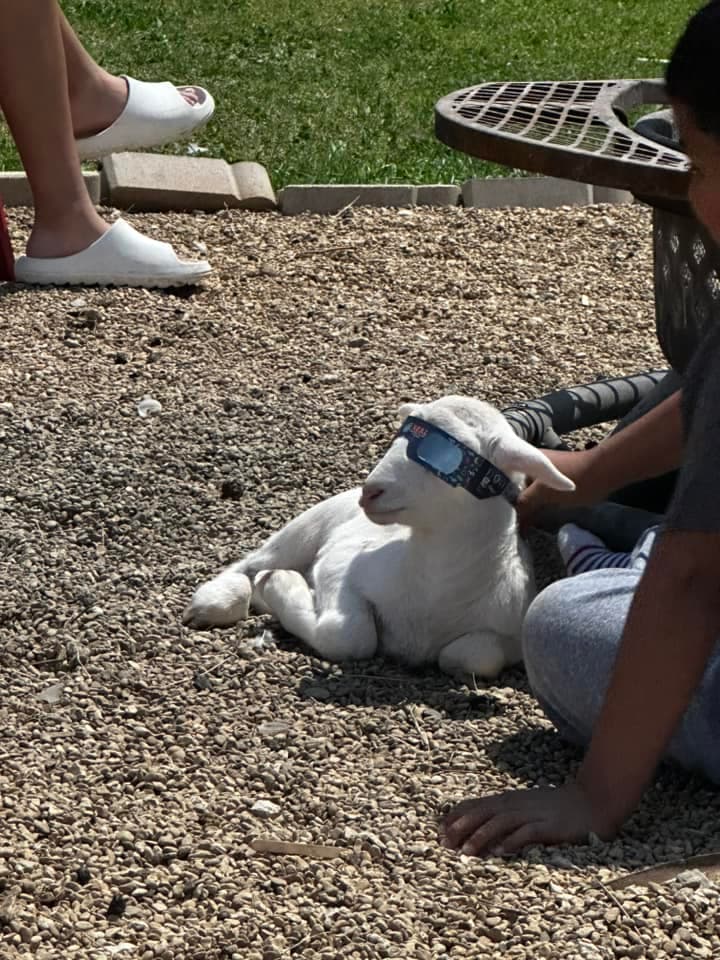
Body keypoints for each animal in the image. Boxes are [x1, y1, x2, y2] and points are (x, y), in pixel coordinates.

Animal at [184, 395, 574, 678]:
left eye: (446, 456)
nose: (371, 491)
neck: (431, 593)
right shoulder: (340, 567)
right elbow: (349, 637)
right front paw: (281, 583)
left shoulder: (510, 635)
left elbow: (473, 658)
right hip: (309, 526)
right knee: (253, 562)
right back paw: (216, 600)